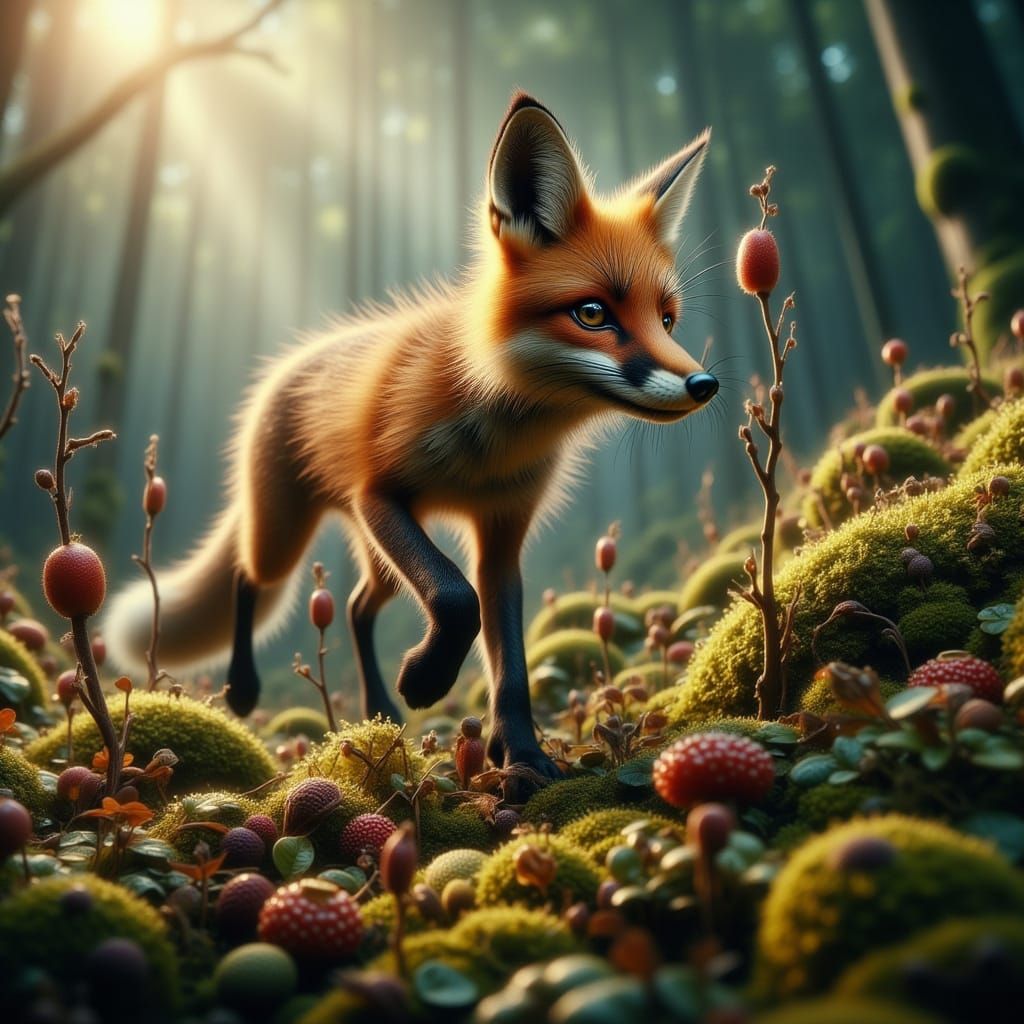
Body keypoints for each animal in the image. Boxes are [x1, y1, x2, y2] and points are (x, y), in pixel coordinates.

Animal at [104, 92, 718, 788]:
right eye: (592, 313)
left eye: (667, 319)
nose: (704, 384)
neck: (492, 440)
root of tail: (289, 364)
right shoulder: (380, 495)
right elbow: (455, 599)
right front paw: (427, 680)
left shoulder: (501, 533)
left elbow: (507, 656)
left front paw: (522, 757)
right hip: (289, 530)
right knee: (246, 575)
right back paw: (243, 686)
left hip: (379, 557)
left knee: (354, 607)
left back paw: (379, 711)